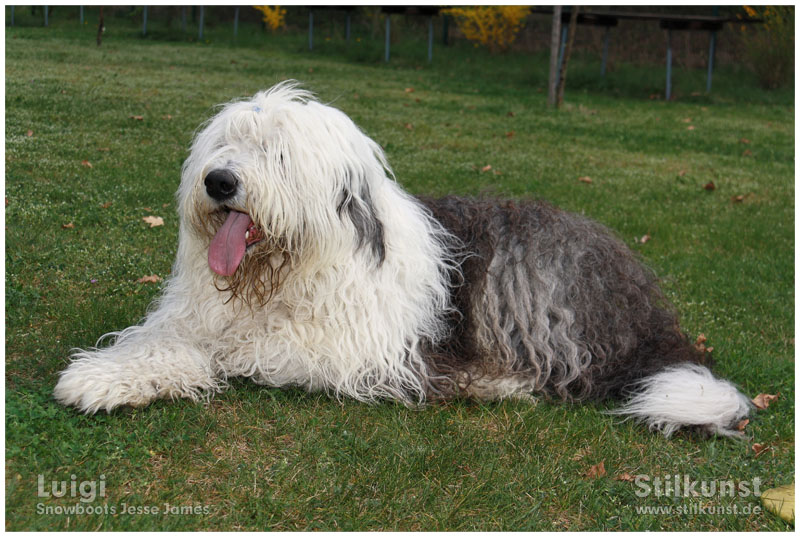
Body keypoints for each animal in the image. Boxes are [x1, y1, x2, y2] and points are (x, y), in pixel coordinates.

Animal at [53, 82, 752, 436]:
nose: (220, 182)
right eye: (225, 143)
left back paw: (492, 382)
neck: (287, 272)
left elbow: (235, 351)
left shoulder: (351, 346)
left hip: (529, 281)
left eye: (279, 154)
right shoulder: (196, 313)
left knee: (576, 374)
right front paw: (107, 376)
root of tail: (648, 311)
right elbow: (166, 339)